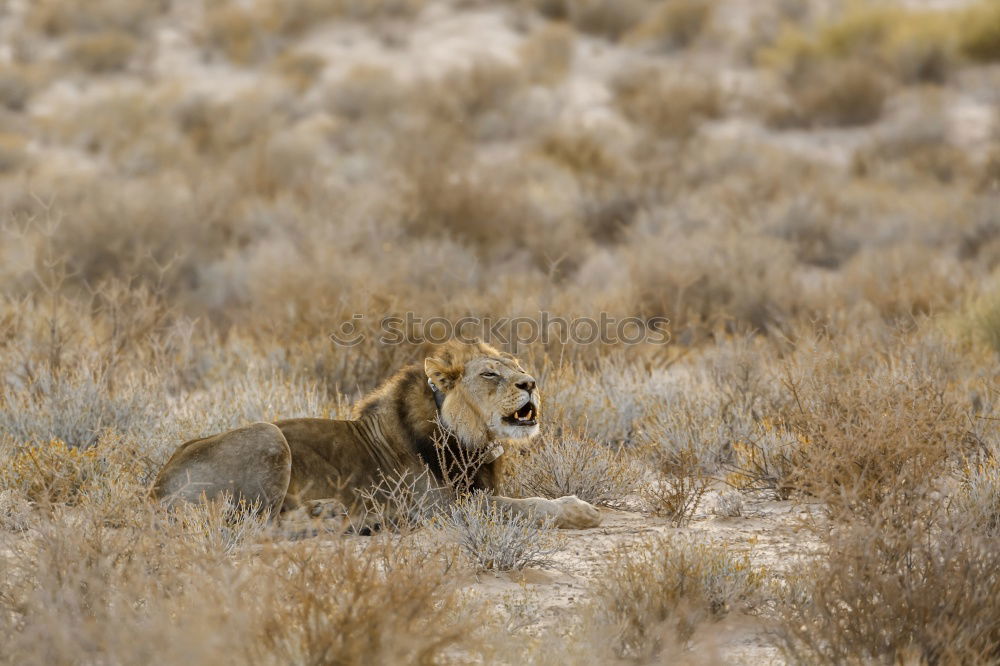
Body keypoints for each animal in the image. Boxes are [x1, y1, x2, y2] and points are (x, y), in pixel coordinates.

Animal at [150, 340, 600, 528]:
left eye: (519, 366)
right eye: (490, 374)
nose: (531, 383)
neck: (472, 437)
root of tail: (156, 490)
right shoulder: (442, 507)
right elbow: (522, 506)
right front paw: (578, 510)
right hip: (266, 435)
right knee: (256, 528)